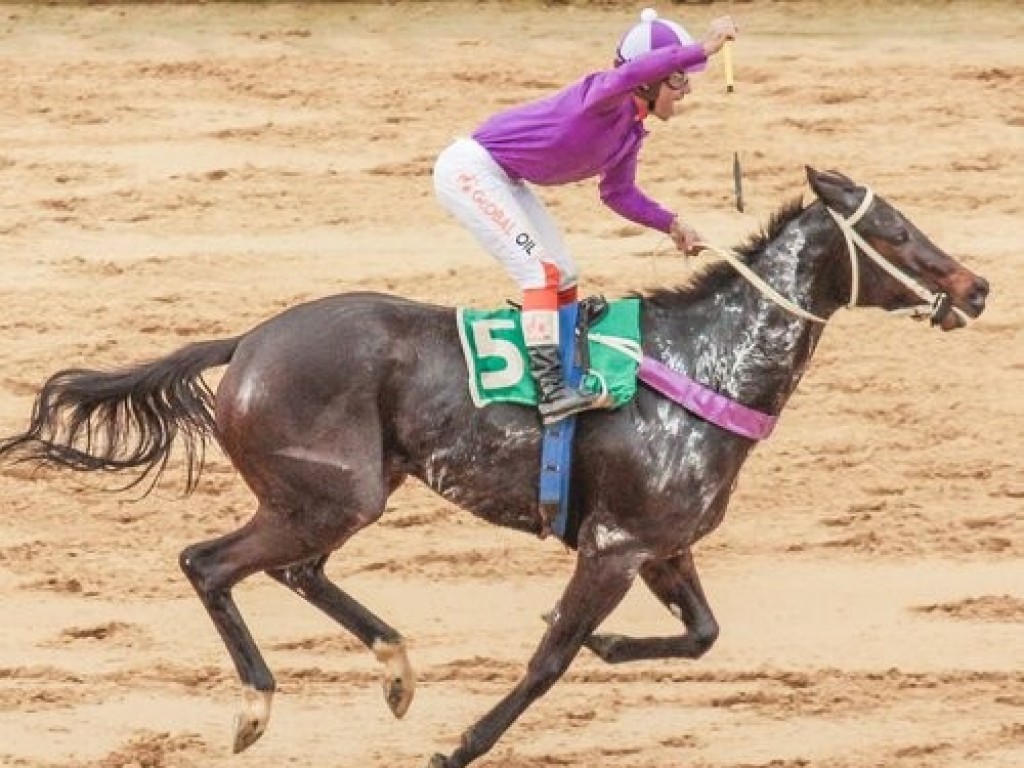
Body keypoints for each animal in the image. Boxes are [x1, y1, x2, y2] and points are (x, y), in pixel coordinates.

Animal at [0, 167, 991, 768]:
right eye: (896, 234)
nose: (977, 287)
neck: (706, 364)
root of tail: (246, 342)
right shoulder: (615, 544)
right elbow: (549, 661)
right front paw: (465, 740)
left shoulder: (663, 545)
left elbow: (702, 635)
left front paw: (611, 645)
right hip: (330, 496)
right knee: (209, 563)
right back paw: (256, 706)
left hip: (335, 496)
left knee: (295, 571)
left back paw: (396, 667)